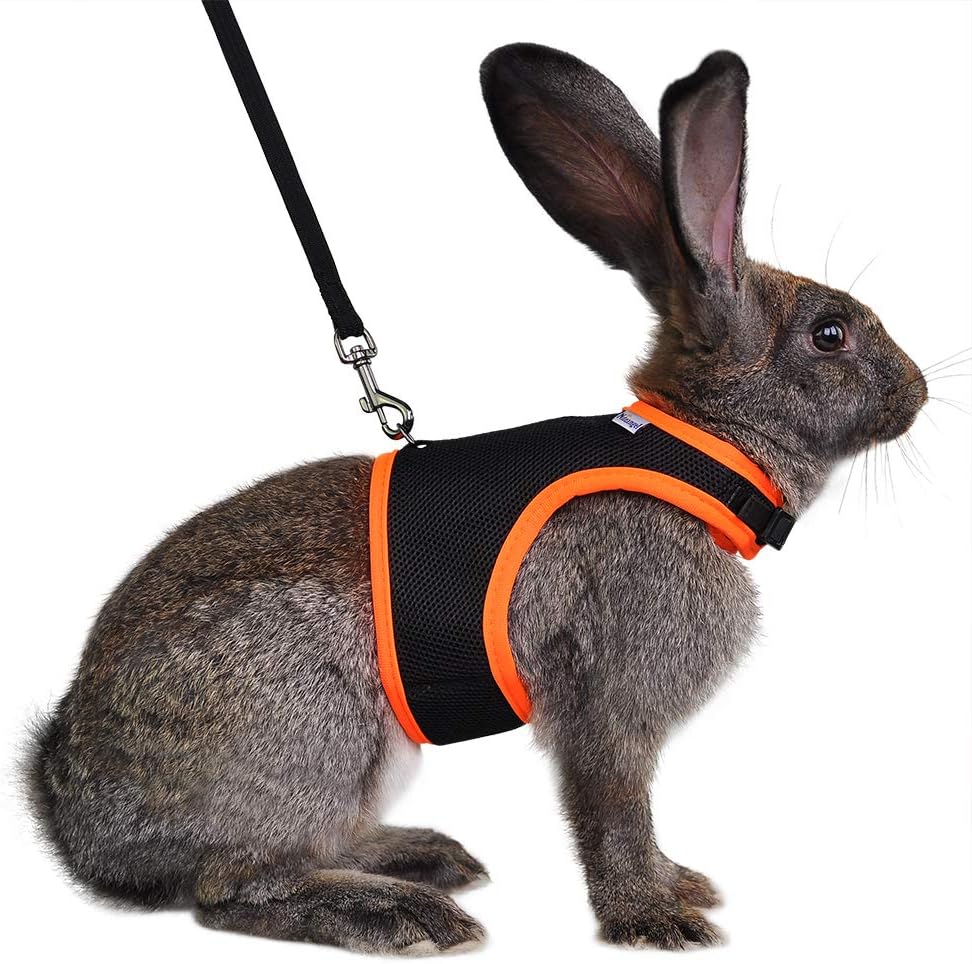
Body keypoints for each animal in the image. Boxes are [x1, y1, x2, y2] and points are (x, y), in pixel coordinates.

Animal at [26, 44, 927, 954]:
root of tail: (77, 812)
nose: (917, 393)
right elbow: (613, 811)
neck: (698, 448)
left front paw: (680, 885)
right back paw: (400, 912)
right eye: (830, 335)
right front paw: (653, 917)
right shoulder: (609, 699)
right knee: (233, 887)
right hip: (318, 730)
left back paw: (423, 857)